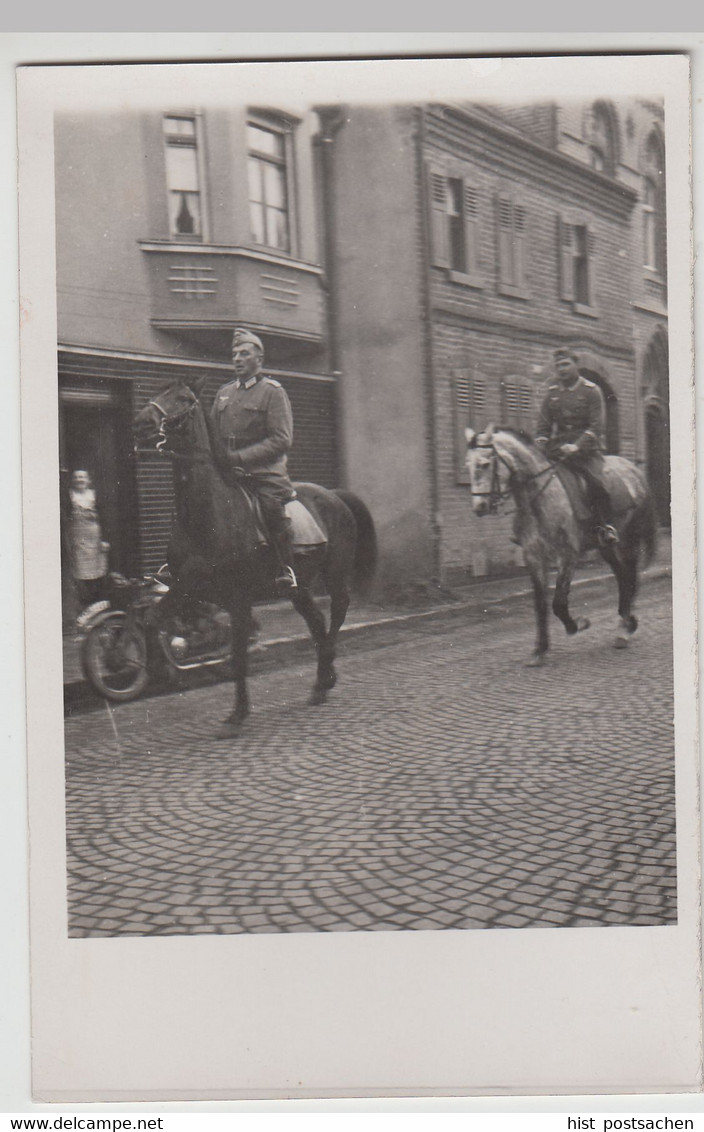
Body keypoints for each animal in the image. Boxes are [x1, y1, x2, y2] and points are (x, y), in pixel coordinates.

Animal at [131, 375, 375, 738]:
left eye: (184, 399)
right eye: (160, 392)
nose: (141, 423)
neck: (207, 516)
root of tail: (333, 495)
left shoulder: (238, 599)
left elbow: (238, 654)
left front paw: (238, 713)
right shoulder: (186, 589)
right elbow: (153, 621)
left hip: (334, 573)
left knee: (337, 614)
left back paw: (327, 675)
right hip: (299, 587)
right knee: (316, 621)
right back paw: (321, 682)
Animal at [466, 427, 660, 665]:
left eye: (485, 464)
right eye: (467, 465)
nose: (480, 507)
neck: (540, 497)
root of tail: (634, 470)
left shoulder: (567, 555)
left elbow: (558, 602)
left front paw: (577, 624)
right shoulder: (534, 556)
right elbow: (540, 603)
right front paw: (539, 650)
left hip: (628, 541)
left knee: (631, 577)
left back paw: (624, 629)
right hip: (606, 548)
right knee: (623, 577)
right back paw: (627, 622)